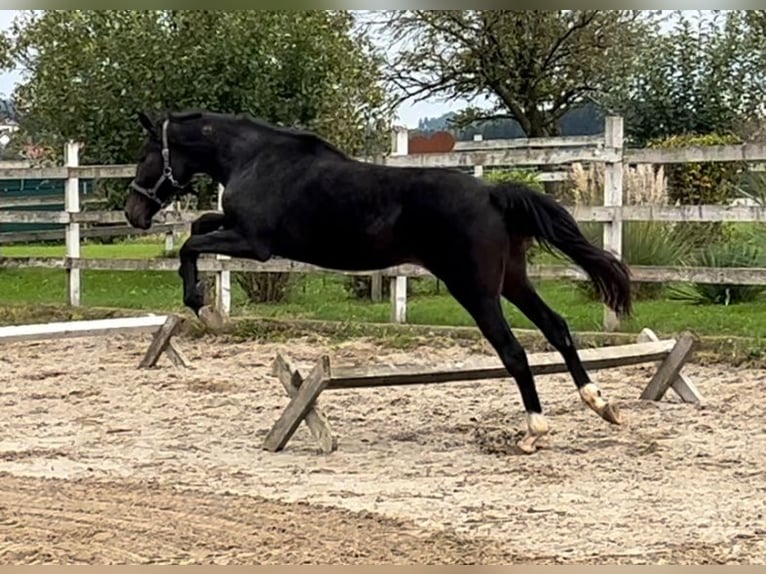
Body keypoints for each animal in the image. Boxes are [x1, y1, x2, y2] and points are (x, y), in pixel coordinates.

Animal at [124, 111, 632, 454]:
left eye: (146, 155)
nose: (134, 213)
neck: (255, 159)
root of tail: (492, 192)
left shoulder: (254, 242)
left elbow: (191, 244)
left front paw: (202, 305)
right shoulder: (237, 230)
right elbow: (197, 229)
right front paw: (206, 305)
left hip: (475, 290)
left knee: (514, 351)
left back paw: (534, 431)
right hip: (512, 280)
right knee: (557, 327)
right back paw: (601, 404)